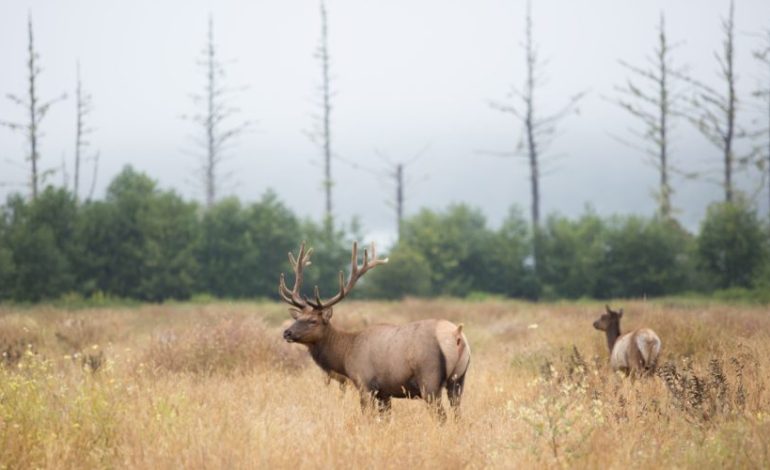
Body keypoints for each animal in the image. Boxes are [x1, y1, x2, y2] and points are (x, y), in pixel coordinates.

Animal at [278, 242, 468, 418]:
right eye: (297, 318)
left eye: (313, 321)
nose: (287, 332)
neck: (345, 355)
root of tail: (457, 334)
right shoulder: (385, 392)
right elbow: (385, 418)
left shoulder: (364, 383)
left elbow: (368, 416)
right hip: (459, 380)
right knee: (458, 414)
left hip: (429, 379)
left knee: (441, 416)